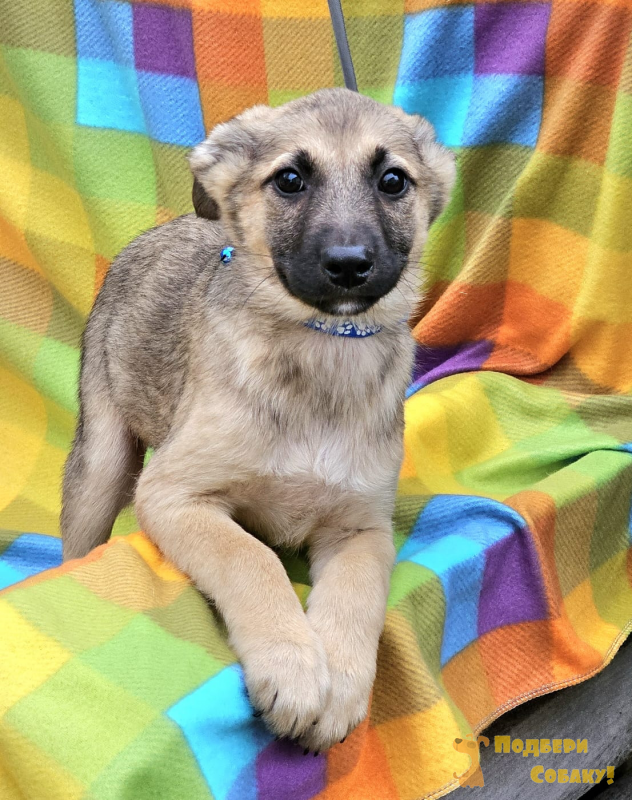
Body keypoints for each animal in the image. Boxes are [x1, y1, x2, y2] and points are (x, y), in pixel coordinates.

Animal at [61, 88, 455, 752]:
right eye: (290, 179)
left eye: (393, 181)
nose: (348, 264)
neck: (322, 353)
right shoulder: (173, 494)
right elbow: (252, 558)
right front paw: (292, 665)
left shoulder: (362, 528)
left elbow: (358, 597)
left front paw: (341, 683)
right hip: (103, 463)